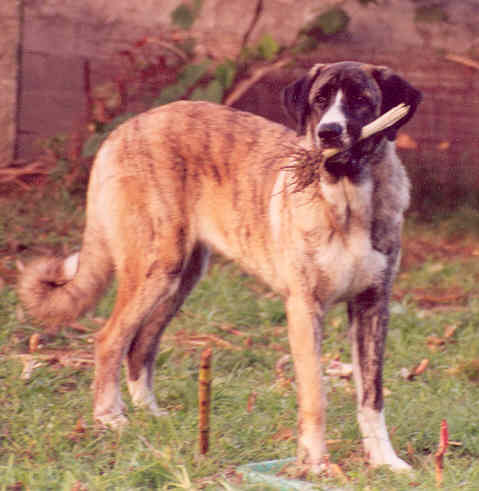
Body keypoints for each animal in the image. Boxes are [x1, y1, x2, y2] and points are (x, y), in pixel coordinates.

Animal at [18, 60, 422, 472]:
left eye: (360, 100)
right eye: (320, 100)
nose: (328, 133)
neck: (346, 198)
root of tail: (125, 128)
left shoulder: (372, 307)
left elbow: (371, 397)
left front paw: (385, 461)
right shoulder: (304, 309)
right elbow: (315, 395)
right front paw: (315, 464)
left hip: (179, 278)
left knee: (141, 345)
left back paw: (150, 414)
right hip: (155, 269)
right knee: (109, 339)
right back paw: (109, 417)